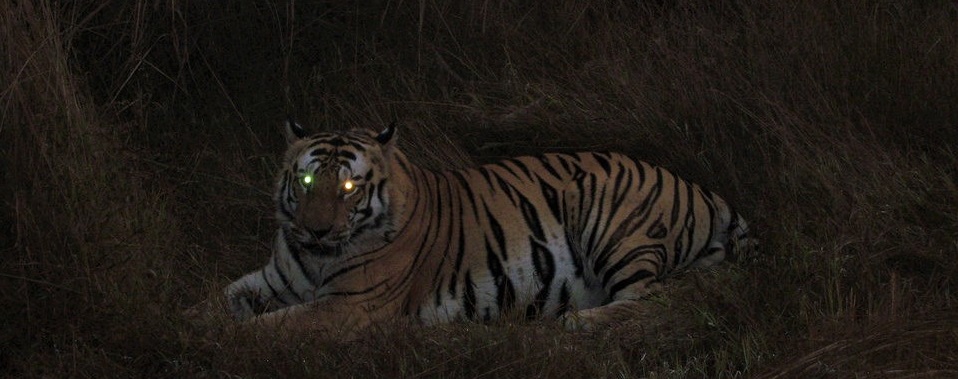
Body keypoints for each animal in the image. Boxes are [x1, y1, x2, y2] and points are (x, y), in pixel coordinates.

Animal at [223, 119, 752, 336]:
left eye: (350, 186)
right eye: (307, 180)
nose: (315, 230)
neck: (314, 257)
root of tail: (702, 188)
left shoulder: (350, 306)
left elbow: (269, 327)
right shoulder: (272, 279)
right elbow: (220, 301)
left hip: (611, 223)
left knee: (656, 302)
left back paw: (579, 321)